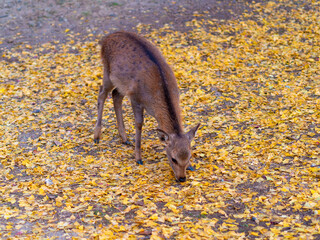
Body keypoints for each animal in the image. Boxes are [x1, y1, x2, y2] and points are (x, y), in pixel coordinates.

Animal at [92, 31, 200, 182]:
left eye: (189, 155)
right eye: (173, 159)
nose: (182, 178)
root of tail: (106, 38)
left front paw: (191, 166)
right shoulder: (135, 98)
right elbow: (139, 124)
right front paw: (138, 158)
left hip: (121, 83)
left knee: (115, 95)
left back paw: (125, 139)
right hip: (107, 71)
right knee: (102, 93)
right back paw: (97, 136)